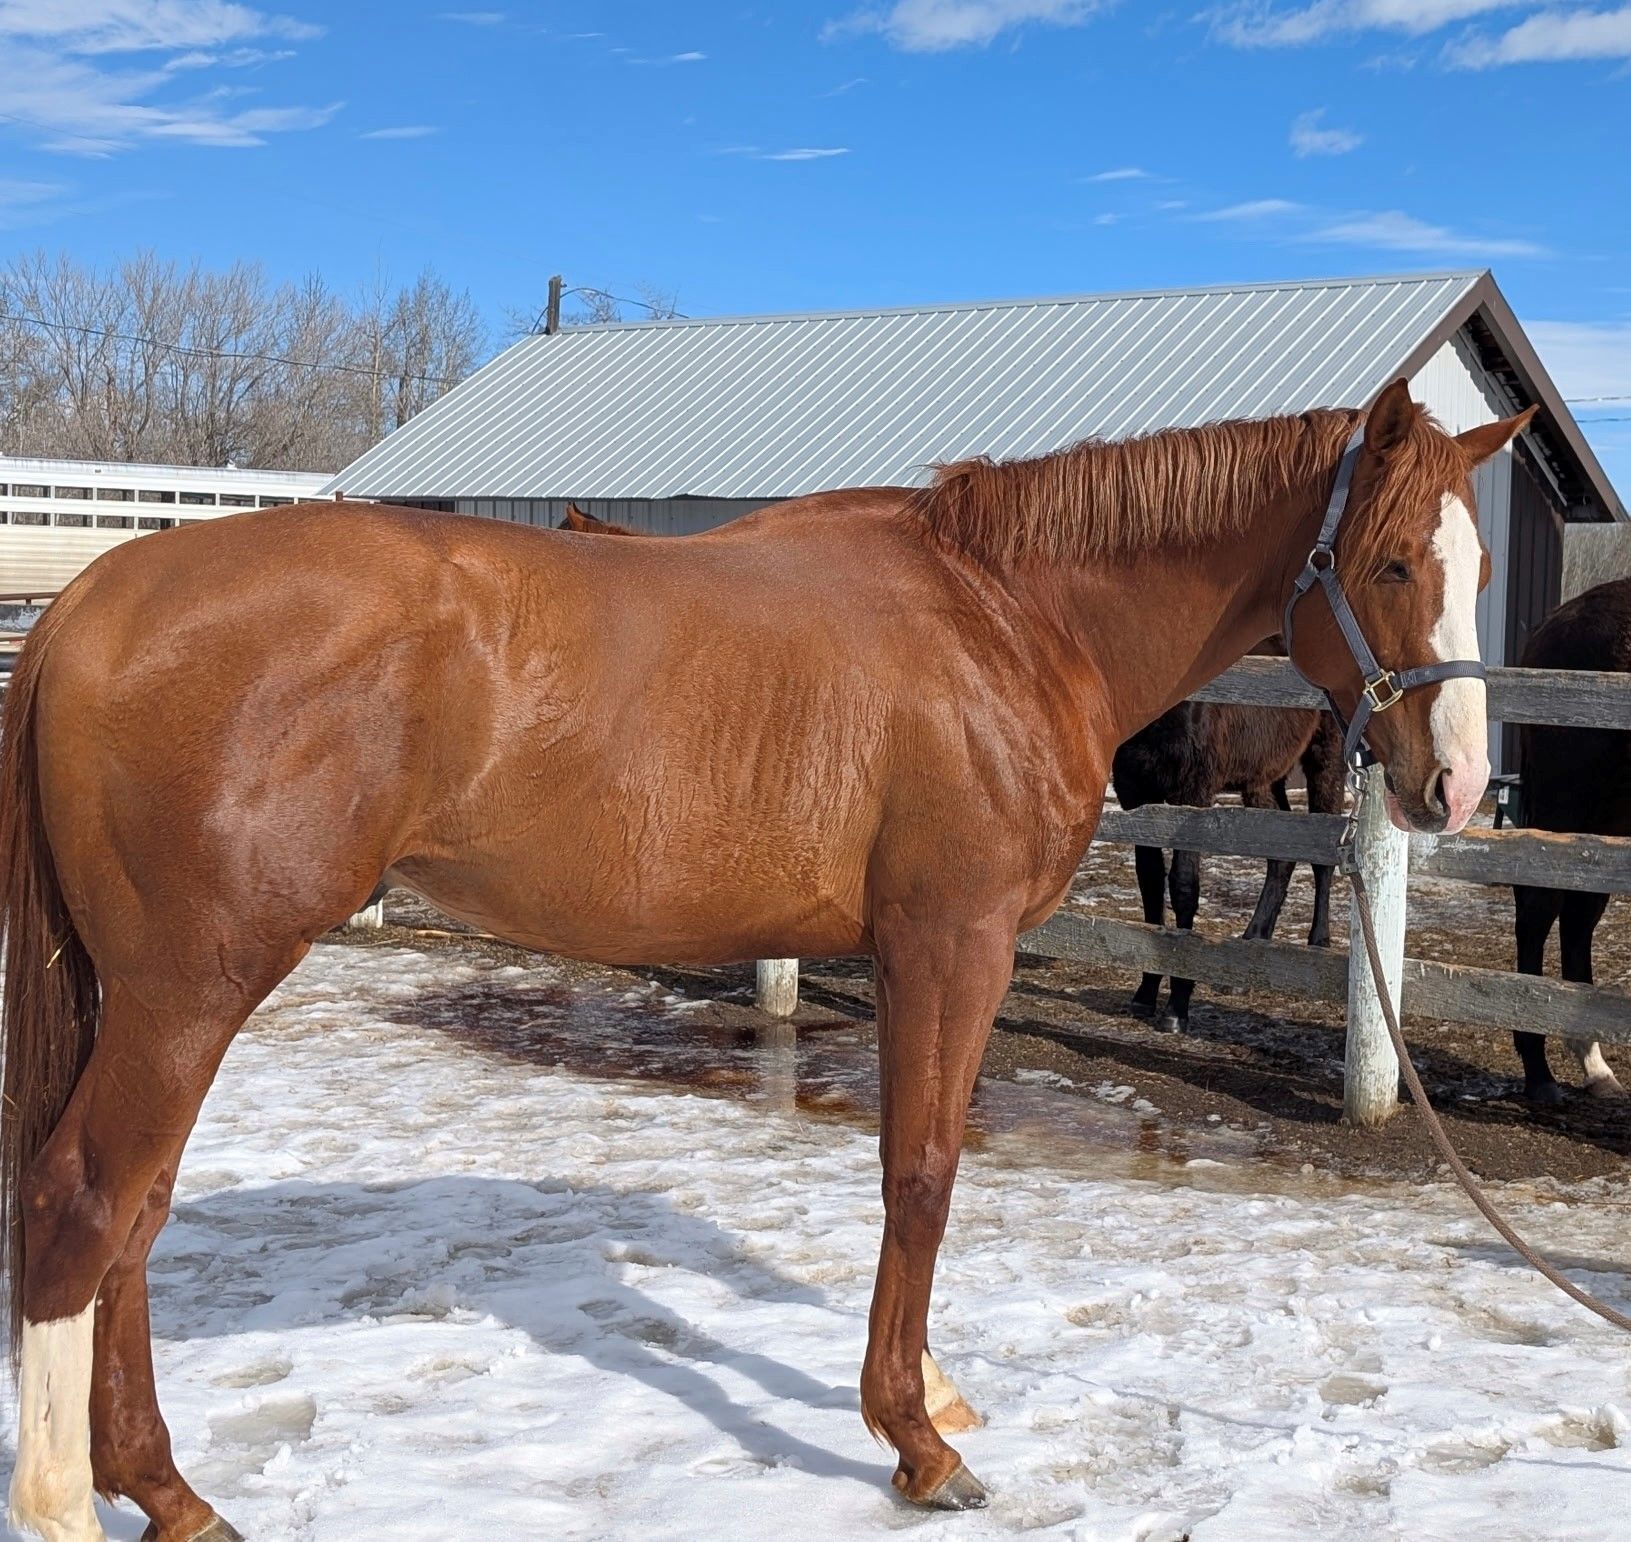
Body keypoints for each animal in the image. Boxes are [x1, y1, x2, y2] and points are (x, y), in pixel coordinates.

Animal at [1112, 686, 1346, 1031]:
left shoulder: (1192, 793)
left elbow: (1183, 886)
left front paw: (1177, 1007)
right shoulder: (1134, 791)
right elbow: (1150, 885)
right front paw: (1146, 992)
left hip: (1326, 755)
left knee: (1322, 857)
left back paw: (1319, 945)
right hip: (1263, 776)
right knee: (1281, 857)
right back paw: (1251, 948)